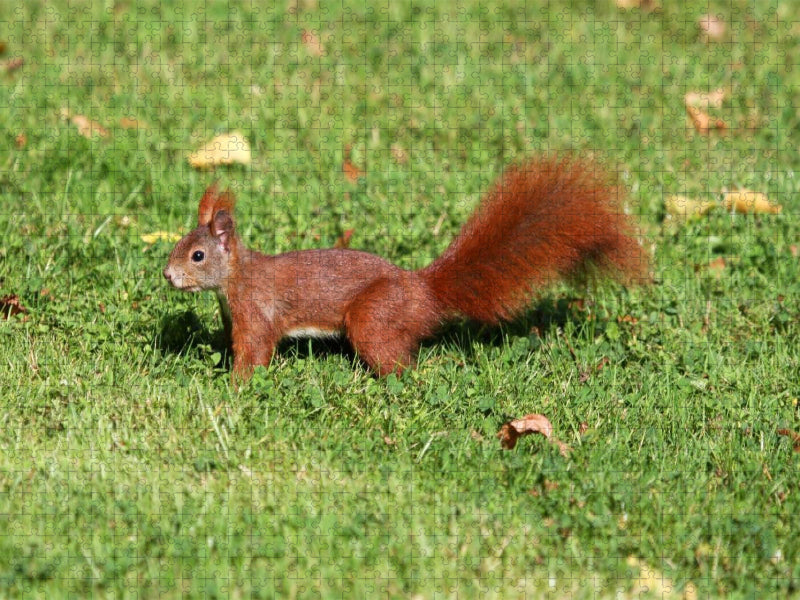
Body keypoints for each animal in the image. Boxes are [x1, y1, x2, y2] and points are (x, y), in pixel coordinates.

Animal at [163, 156, 646, 382]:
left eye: (197, 256)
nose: (167, 276)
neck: (237, 279)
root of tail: (423, 291)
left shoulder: (257, 316)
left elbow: (256, 353)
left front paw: (235, 385)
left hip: (372, 318)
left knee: (399, 364)